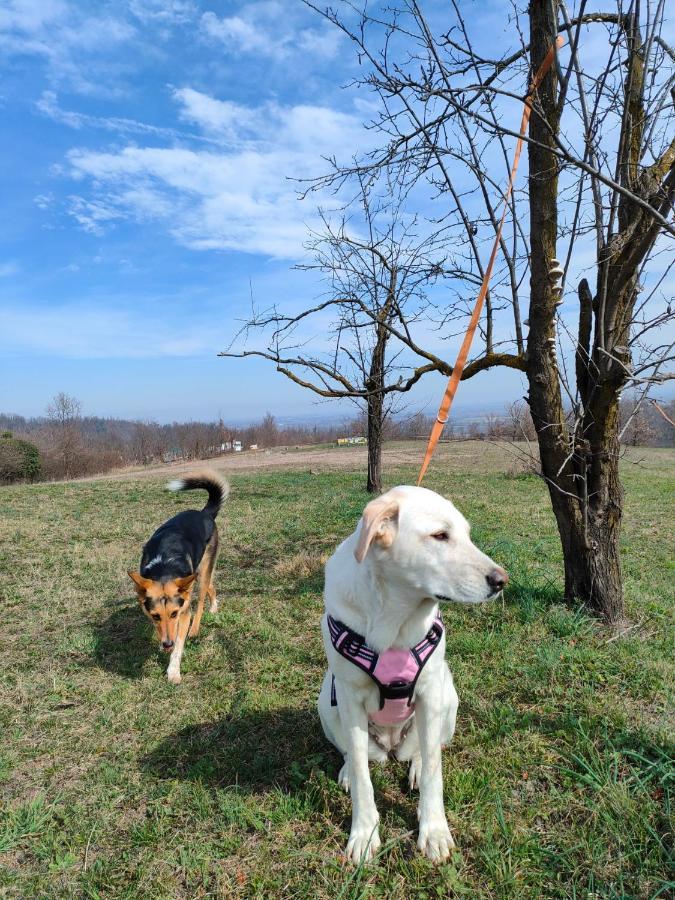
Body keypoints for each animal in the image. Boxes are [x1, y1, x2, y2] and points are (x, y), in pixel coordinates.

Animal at [128, 472, 228, 684]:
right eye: (155, 616)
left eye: (174, 613)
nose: (167, 644)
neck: (164, 567)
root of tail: (204, 513)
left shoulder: (183, 612)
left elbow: (179, 644)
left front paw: (173, 671)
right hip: (197, 573)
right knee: (211, 586)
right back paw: (214, 607)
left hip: (202, 571)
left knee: (201, 600)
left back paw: (196, 627)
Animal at [320, 486, 510, 864]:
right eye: (440, 536)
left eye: (467, 534)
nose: (501, 581)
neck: (394, 614)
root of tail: (392, 746)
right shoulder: (348, 697)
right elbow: (362, 776)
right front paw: (364, 833)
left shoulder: (430, 692)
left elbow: (436, 772)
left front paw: (434, 830)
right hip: (326, 699)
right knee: (353, 752)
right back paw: (348, 768)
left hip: (448, 697)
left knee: (427, 747)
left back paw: (418, 766)